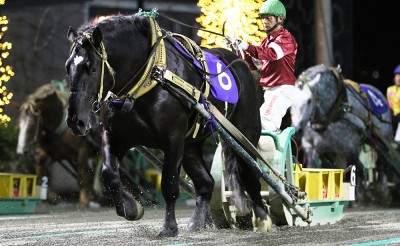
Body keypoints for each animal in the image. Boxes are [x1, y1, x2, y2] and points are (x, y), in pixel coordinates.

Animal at [64, 12, 268, 236]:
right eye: (68, 67)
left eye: (92, 68)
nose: (75, 120)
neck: (150, 76)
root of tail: (238, 60)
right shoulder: (116, 136)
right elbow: (109, 174)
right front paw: (131, 208)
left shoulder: (173, 139)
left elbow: (169, 183)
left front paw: (169, 227)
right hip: (191, 145)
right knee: (206, 182)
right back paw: (197, 222)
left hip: (244, 134)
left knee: (251, 174)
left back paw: (263, 218)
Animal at [290, 64, 394, 204]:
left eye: (309, 101)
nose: (297, 129)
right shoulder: (311, 148)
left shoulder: (351, 146)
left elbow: (356, 168)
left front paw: (358, 195)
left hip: (380, 139)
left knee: (381, 163)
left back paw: (382, 191)